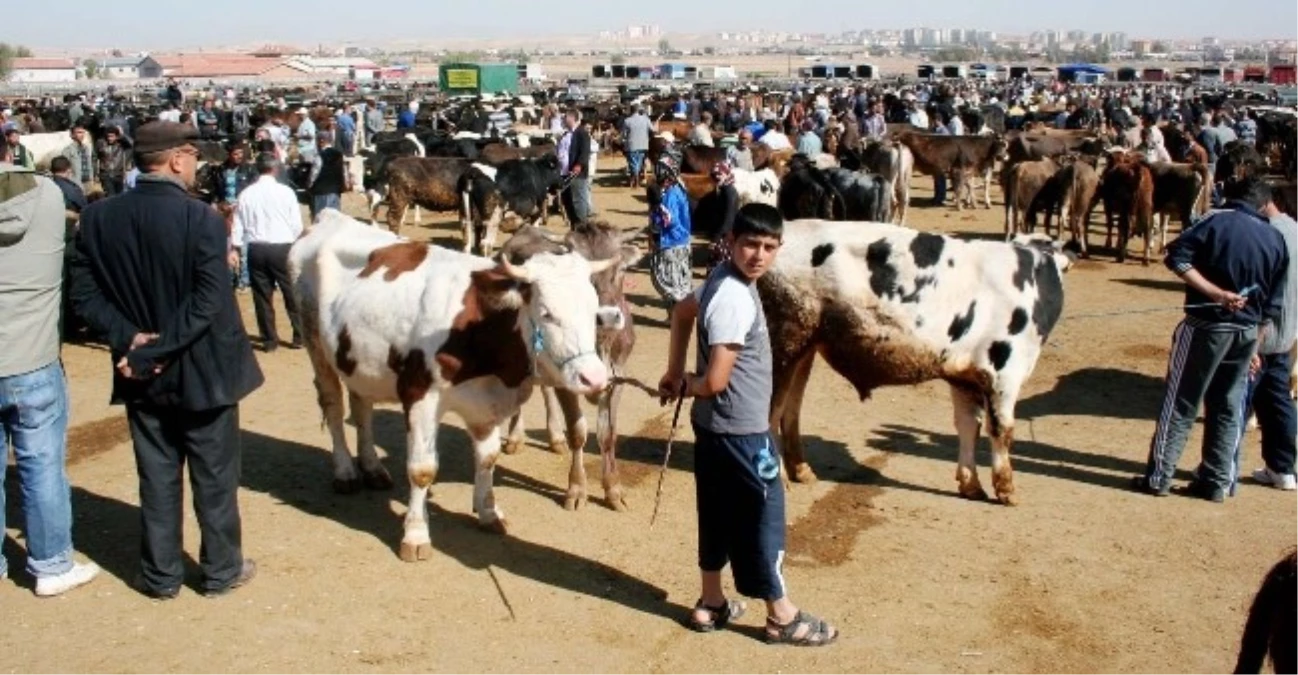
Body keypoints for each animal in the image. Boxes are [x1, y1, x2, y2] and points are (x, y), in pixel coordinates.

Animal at [286, 210, 625, 558]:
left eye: (593, 311)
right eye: (546, 314)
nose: (595, 378)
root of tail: (329, 217)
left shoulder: (486, 402)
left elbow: (488, 458)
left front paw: (488, 513)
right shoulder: (420, 395)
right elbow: (422, 470)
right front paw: (416, 536)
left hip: (358, 358)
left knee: (361, 406)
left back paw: (372, 468)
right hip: (314, 343)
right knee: (333, 406)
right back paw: (346, 472)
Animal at [758, 221, 1074, 506]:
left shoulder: (964, 377)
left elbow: (968, 426)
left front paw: (971, 485)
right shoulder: (1005, 370)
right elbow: (1002, 430)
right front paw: (1006, 490)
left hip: (805, 348)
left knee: (791, 409)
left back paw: (801, 470)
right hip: (782, 343)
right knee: (769, 413)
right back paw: (780, 479)